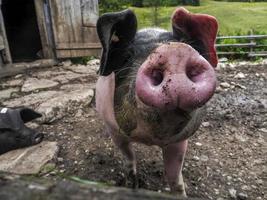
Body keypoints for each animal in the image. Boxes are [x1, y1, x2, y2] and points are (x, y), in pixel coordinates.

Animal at [95, 7, 219, 197]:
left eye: (186, 44)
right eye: (127, 56)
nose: (175, 50)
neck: (149, 139)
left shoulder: (179, 141)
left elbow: (175, 177)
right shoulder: (115, 131)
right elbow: (129, 159)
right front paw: (133, 186)